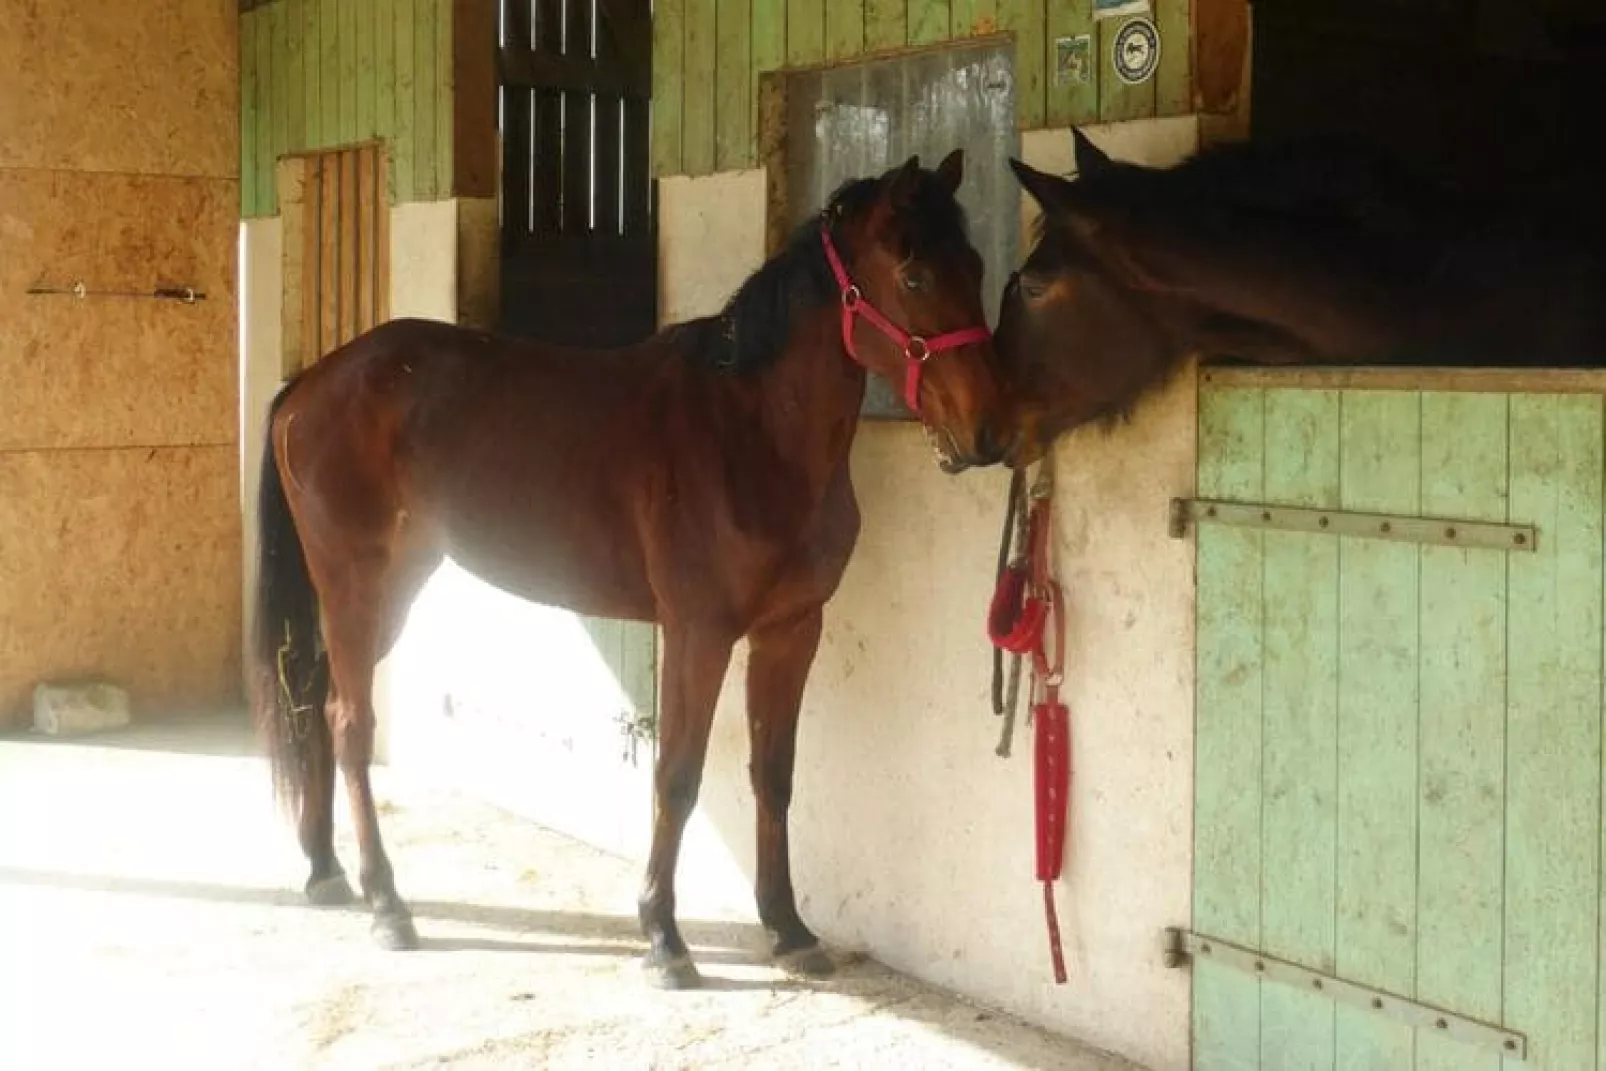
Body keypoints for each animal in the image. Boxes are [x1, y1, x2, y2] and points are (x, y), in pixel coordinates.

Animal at [248, 152, 1002, 989]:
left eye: (974, 264)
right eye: (913, 273)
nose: (989, 429)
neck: (750, 431)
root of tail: (310, 384)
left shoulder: (790, 631)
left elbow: (774, 774)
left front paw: (788, 927)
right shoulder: (698, 633)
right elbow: (677, 775)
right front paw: (664, 937)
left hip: (390, 588)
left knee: (318, 699)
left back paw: (324, 869)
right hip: (355, 583)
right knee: (351, 723)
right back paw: (387, 903)